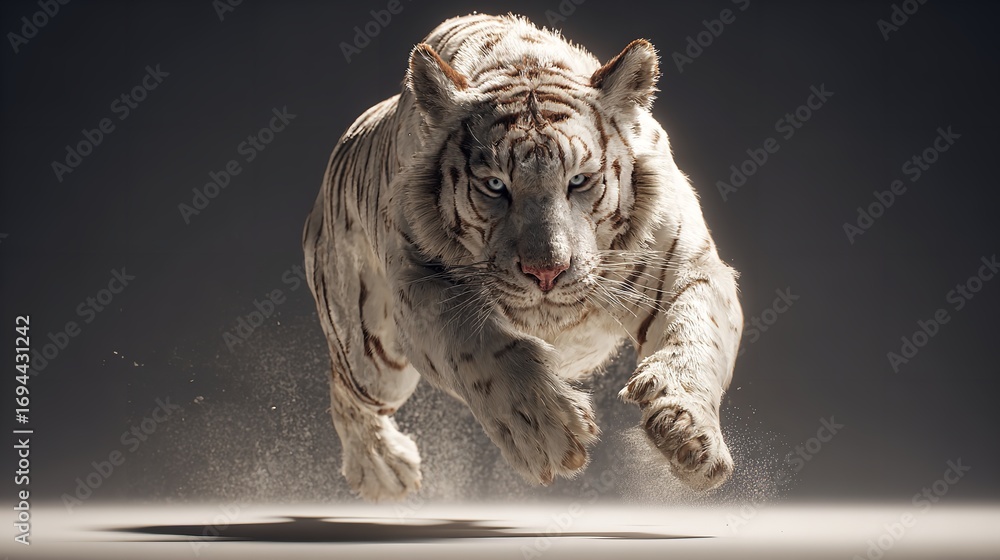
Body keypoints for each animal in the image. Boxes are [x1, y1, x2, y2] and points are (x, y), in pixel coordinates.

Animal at [302, 13, 743, 502]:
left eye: (579, 180)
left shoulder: (685, 266)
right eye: (495, 185)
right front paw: (545, 431)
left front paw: (687, 432)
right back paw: (381, 470)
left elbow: (699, 334)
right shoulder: (418, 284)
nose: (546, 272)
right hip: (374, 356)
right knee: (346, 392)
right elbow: (476, 346)